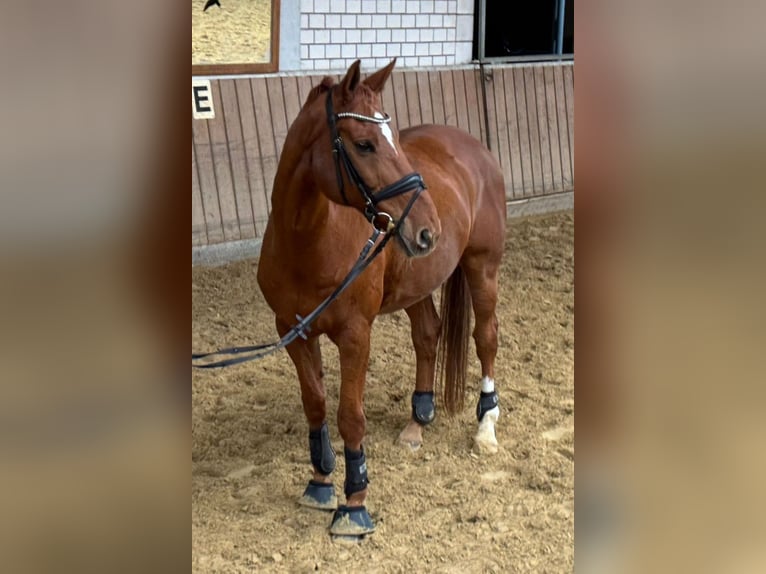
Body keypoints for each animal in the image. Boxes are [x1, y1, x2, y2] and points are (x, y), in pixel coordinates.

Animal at [256, 59, 507, 538]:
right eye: (365, 144)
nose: (428, 228)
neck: (309, 241)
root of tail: (475, 148)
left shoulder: (355, 336)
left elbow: (349, 415)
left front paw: (354, 504)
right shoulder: (294, 330)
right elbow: (315, 403)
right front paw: (320, 481)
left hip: (482, 268)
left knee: (486, 337)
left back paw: (486, 425)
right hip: (416, 280)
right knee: (428, 333)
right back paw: (417, 421)